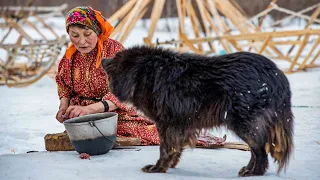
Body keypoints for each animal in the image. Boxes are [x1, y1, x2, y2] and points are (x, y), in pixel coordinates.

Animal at [102, 45, 292, 176]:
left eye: (116, 58)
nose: (103, 60)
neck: (143, 73)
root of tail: (276, 74)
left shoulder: (166, 123)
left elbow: (165, 148)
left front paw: (158, 168)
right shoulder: (179, 125)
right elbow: (176, 148)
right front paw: (170, 165)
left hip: (244, 124)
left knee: (259, 149)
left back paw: (253, 173)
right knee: (256, 149)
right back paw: (248, 169)